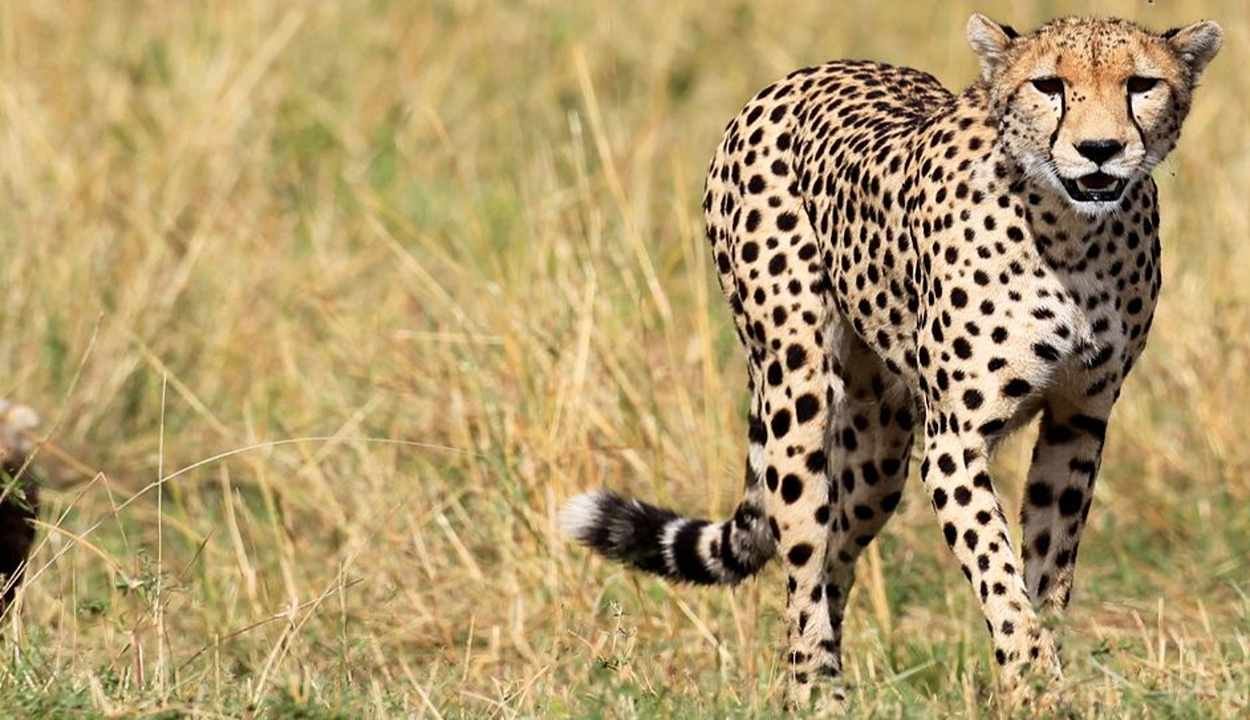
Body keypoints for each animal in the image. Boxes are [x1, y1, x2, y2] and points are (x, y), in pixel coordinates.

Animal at [561, 14, 1222, 713]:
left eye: (1141, 85)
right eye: (1049, 85)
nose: (1100, 149)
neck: (1072, 233)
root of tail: (803, 74)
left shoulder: (1079, 422)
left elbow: (1047, 573)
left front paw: (1045, 676)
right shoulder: (955, 442)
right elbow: (999, 575)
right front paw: (1032, 680)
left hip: (880, 447)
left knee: (837, 556)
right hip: (796, 390)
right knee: (803, 559)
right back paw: (815, 692)